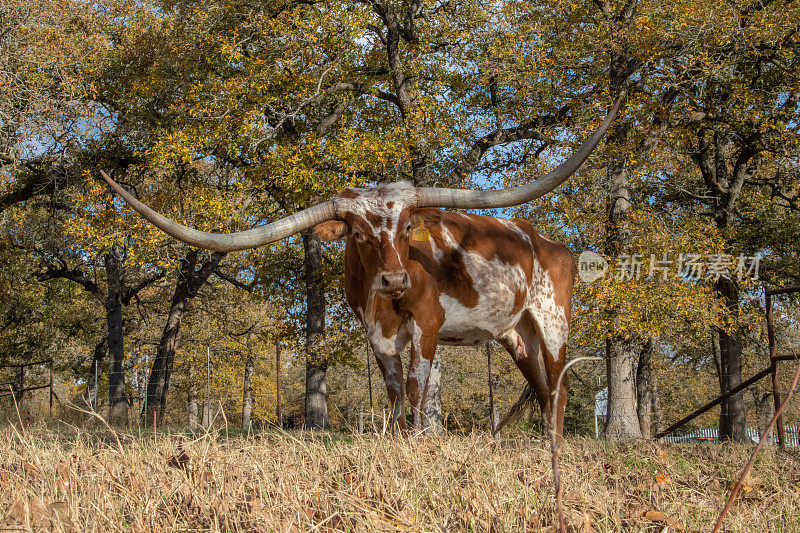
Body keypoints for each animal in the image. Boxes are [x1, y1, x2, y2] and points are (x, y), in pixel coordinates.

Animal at [100, 93, 624, 434]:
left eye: (407, 228)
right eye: (357, 234)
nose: (394, 278)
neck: (384, 303)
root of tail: (548, 241)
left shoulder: (428, 323)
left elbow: (415, 387)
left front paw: (418, 439)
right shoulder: (376, 334)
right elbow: (393, 390)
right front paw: (395, 437)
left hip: (553, 321)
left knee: (558, 385)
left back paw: (555, 443)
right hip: (517, 334)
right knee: (542, 387)